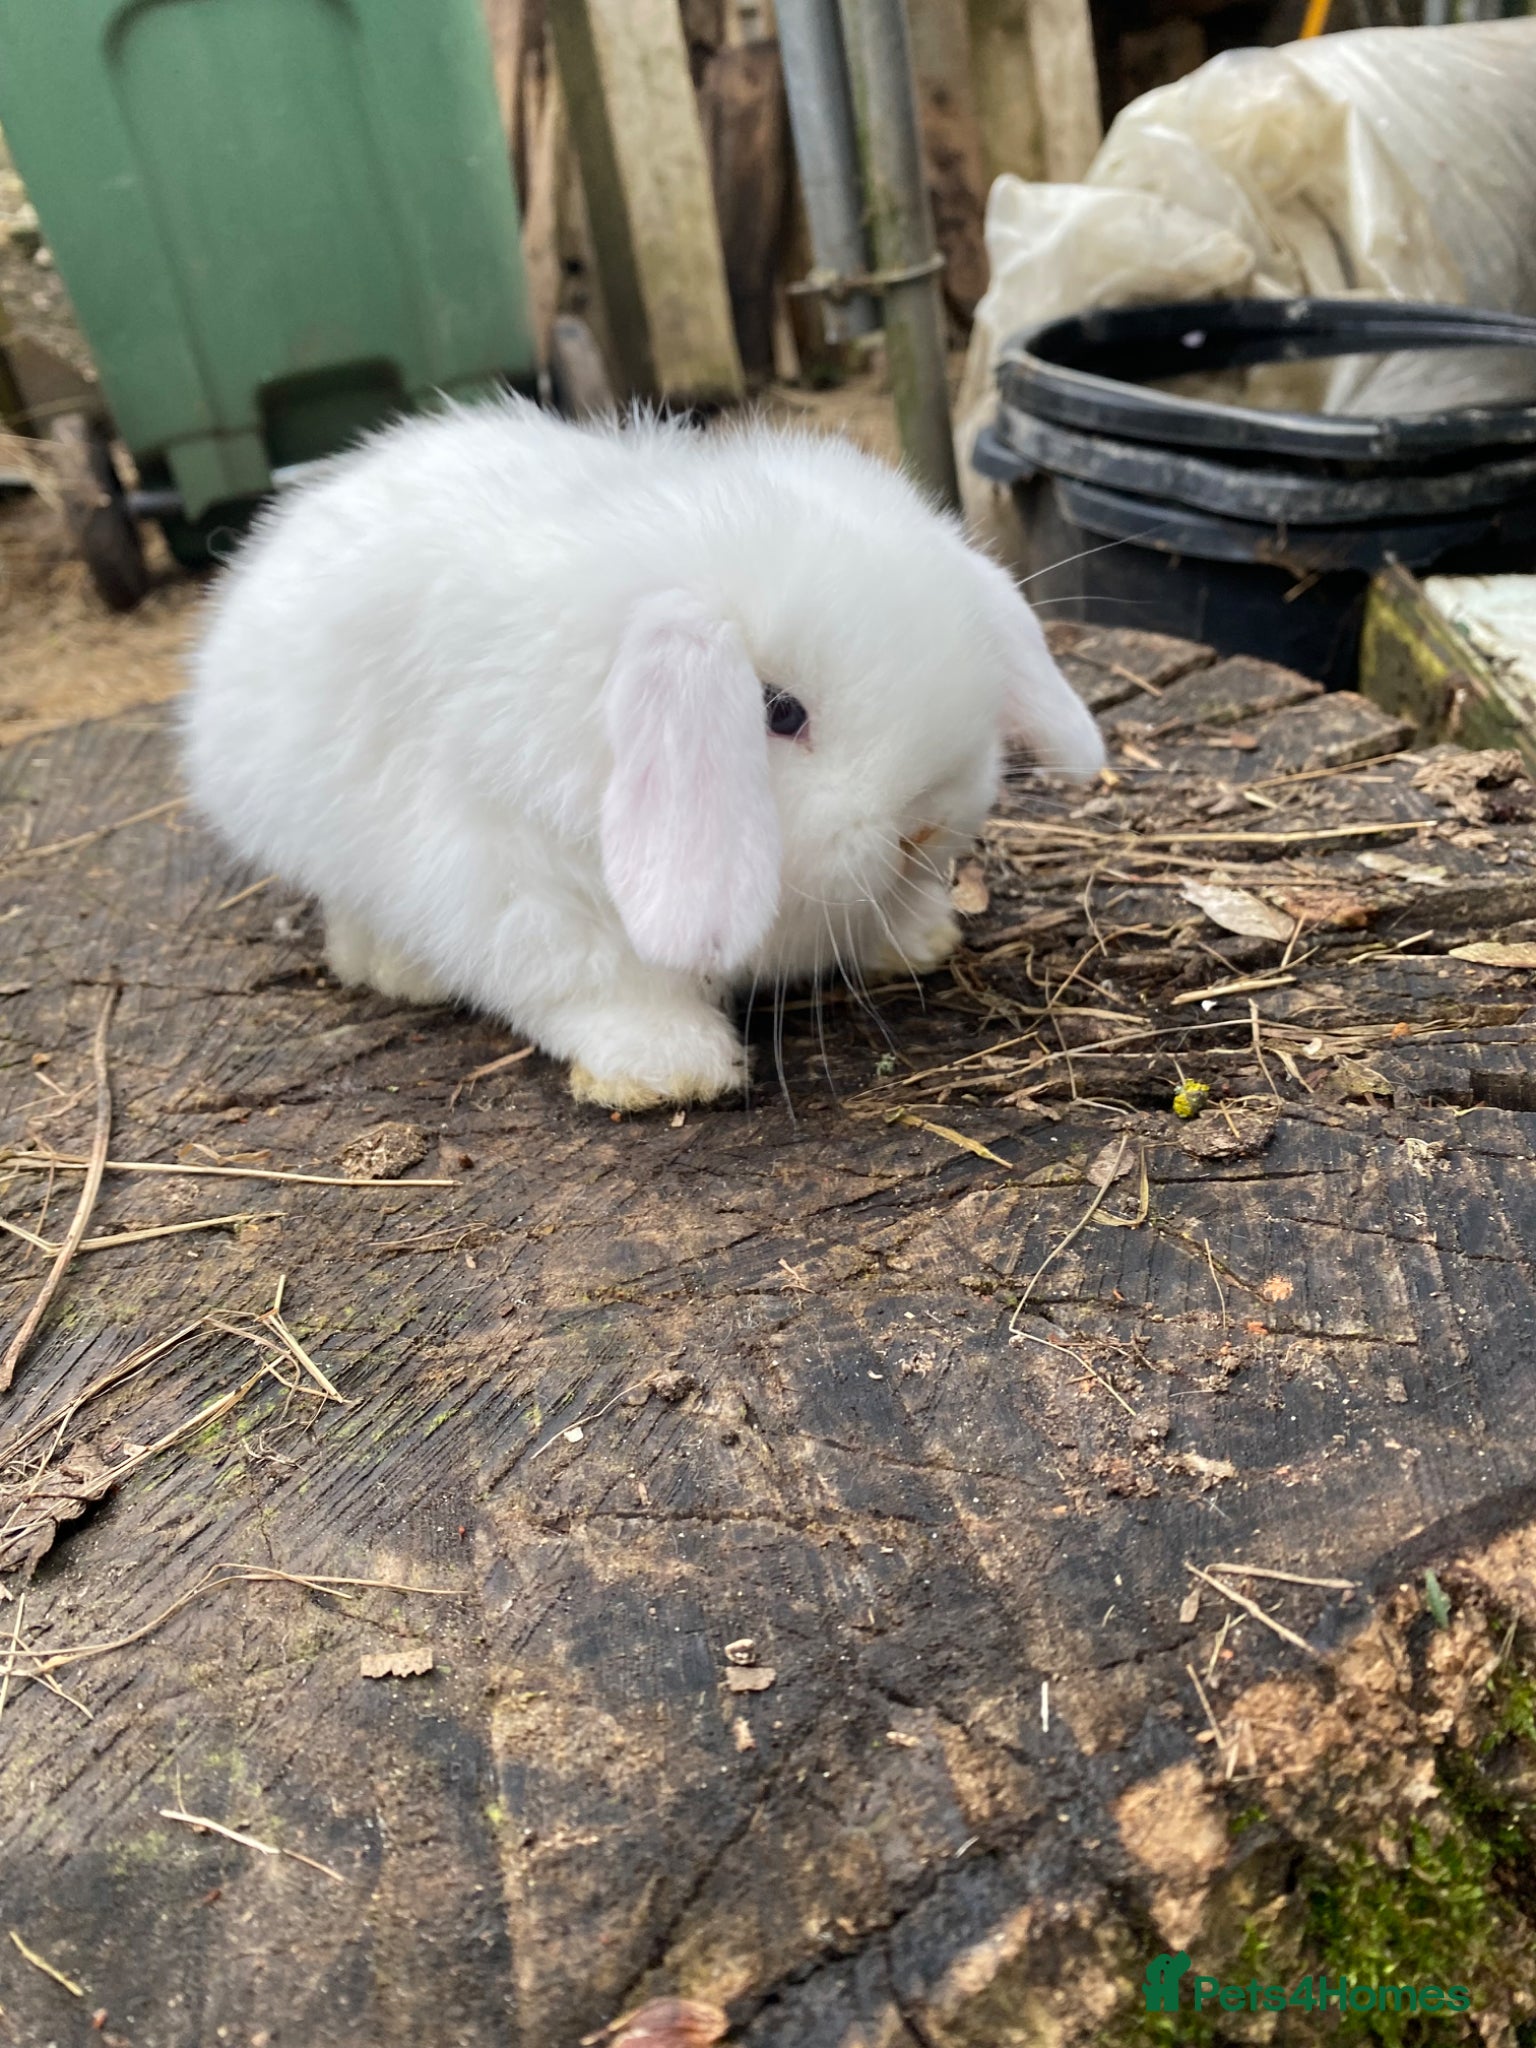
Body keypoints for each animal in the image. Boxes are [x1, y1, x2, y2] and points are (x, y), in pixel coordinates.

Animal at [181, 398, 1105, 1110]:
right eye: (779, 712)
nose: (923, 827)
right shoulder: (519, 885)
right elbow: (596, 984)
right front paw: (670, 1069)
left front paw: (918, 938)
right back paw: (399, 970)